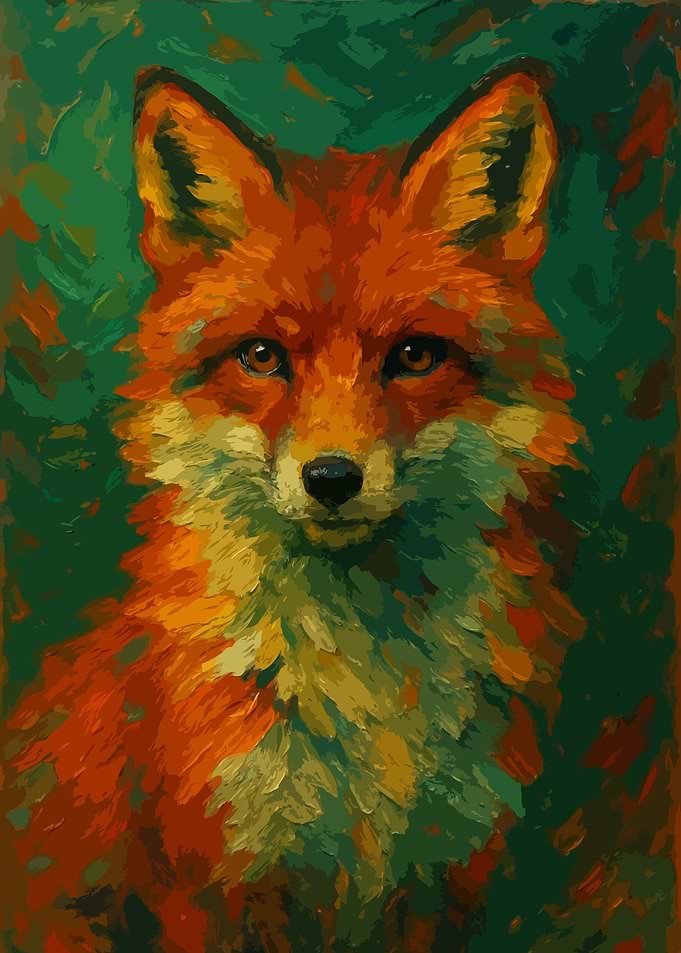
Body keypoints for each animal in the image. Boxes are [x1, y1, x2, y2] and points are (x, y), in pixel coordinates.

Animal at [2, 64, 584, 952]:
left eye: (413, 355)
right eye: (261, 356)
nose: (332, 478)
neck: (364, 693)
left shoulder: (435, 877)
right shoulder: (210, 880)